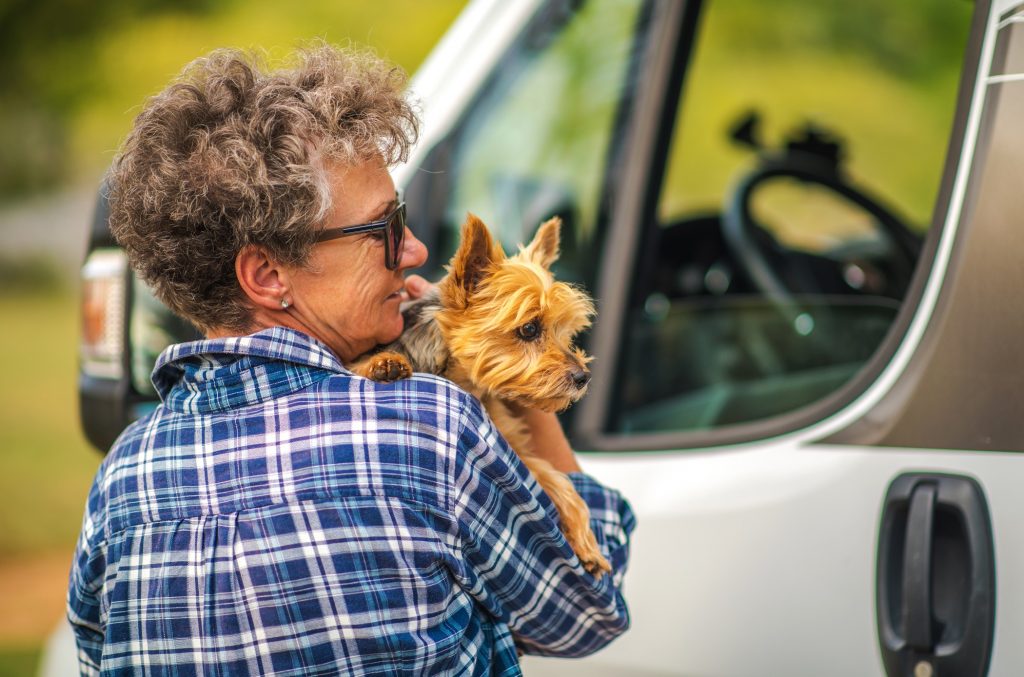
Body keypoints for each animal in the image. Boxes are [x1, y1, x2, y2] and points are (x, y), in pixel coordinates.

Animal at [348, 214, 610, 573]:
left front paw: (586, 541)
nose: (583, 376)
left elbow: (556, 478)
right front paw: (382, 363)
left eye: (565, 332)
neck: (463, 378)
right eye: (529, 329)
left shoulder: (511, 446)